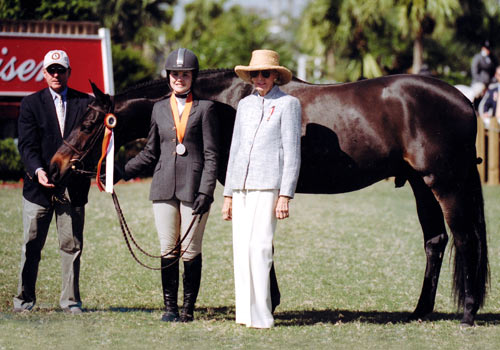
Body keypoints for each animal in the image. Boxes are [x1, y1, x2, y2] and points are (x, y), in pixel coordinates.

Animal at [49, 69, 488, 326]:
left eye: (90, 122)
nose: (56, 166)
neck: (227, 101)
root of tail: (466, 101)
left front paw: (267, 301)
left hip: (444, 183)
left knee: (465, 239)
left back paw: (467, 314)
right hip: (419, 183)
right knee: (436, 241)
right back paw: (420, 311)